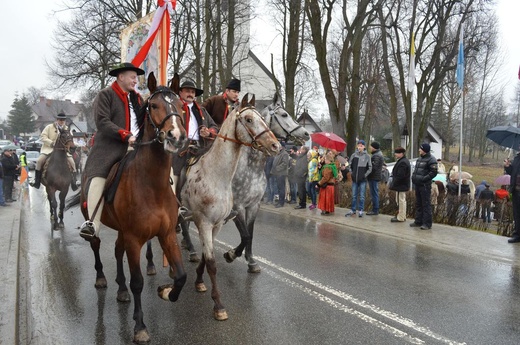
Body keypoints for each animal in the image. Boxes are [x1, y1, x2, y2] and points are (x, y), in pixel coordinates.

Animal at [65, 72, 187, 342]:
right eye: (154, 105)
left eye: (180, 105)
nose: (176, 137)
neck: (151, 184)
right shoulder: (134, 239)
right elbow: (138, 282)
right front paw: (140, 326)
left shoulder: (167, 234)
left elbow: (182, 275)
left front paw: (166, 292)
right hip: (97, 223)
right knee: (98, 245)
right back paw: (102, 279)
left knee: (117, 251)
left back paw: (121, 289)